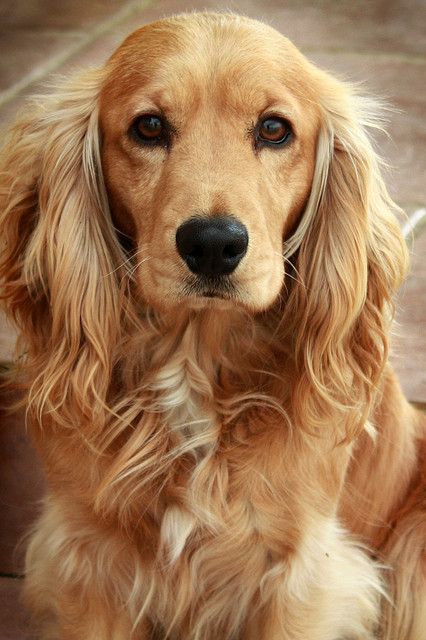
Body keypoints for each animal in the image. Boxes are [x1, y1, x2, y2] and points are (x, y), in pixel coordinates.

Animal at [0, 10, 426, 640]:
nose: (212, 244)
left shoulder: (302, 576)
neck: (194, 360)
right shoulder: (87, 560)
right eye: (149, 126)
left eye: (274, 129)